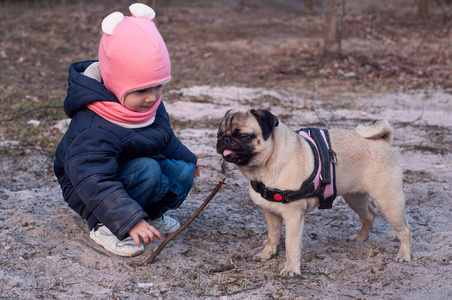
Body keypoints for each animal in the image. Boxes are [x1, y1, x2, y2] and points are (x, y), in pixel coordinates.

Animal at [217, 108, 412, 276]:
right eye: (219, 133)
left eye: (243, 135)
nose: (224, 140)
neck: (265, 166)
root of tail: (381, 141)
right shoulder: (270, 213)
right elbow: (272, 236)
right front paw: (267, 254)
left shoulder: (293, 217)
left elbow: (291, 244)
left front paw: (291, 269)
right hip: (354, 198)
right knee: (369, 216)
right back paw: (360, 237)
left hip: (388, 201)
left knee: (404, 229)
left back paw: (404, 255)